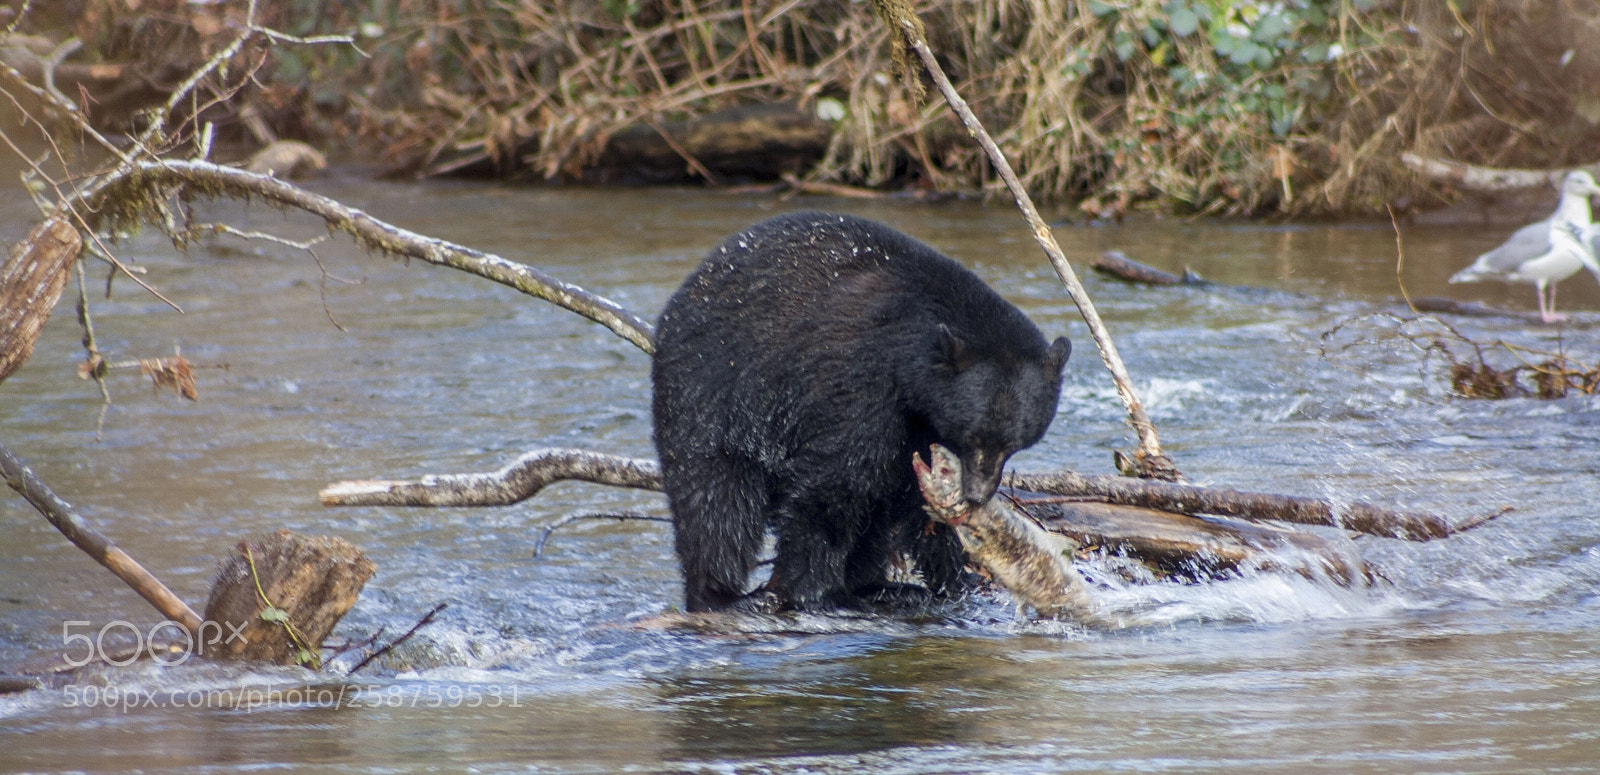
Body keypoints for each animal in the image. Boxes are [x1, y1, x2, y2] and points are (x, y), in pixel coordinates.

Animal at [651, 211, 1071, 613]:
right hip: (712, 392)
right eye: (974, 435)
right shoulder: (858, 386)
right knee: (715, 499)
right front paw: (813, 592)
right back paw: (720, 594)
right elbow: (831, 484)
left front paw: (955, 577)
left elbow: (914, 498)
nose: (977, 494)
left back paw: (879, 586)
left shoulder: (920, 423)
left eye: (1013, 444)